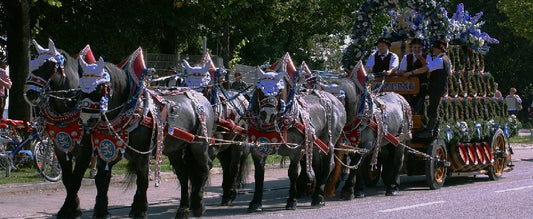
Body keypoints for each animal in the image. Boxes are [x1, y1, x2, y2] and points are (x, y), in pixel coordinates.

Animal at [23, 39, 93, 219]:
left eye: (49, 66)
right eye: (31, 64)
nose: (30, 93)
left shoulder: (85, 151)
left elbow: (76, 179)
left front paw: (73, 208)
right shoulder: (60, 148)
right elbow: (68, 179)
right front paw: (70, 207)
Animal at [245, 68, 344, 212]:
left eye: (279, 91)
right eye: (260, 90)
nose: (267, 114)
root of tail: (336, 100)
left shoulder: (296, 150)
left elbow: (292, 173)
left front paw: (292, 201)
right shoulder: (257, 150)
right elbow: (259, 174)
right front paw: (255, 202)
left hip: (328, 141)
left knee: (328, 165)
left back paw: (318, 197)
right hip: (314, 144)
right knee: (317, 165)